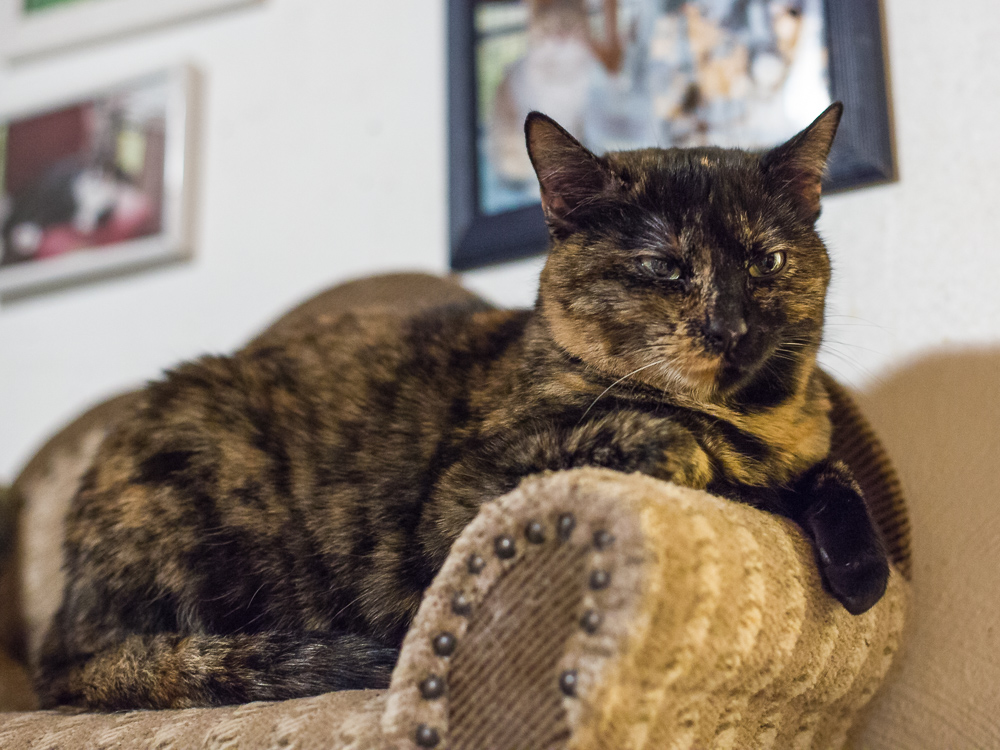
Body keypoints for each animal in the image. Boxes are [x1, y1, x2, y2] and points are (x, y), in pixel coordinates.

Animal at [35, 104, 888, 712]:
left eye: (766, 260)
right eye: (663, 267)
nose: (730, 327)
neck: (752, 421)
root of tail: (61, 623)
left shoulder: (801, 450)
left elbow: (827, 474)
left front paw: (863, 570)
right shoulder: (457, 503)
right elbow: (664, 437)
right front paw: (695, 453)